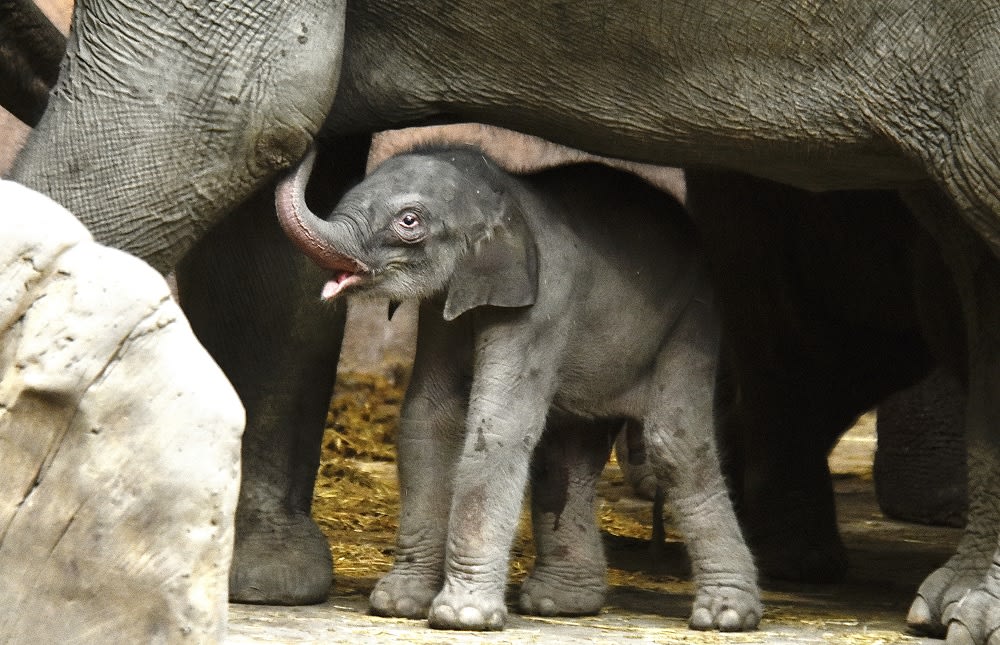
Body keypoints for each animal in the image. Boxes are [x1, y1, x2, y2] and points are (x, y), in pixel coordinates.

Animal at [274, 145, 756, 628]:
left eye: (409, 221)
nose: (304, 151)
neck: (507, 196)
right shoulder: (444, 307)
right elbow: (429, 417)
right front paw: (398, 604)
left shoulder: (542, 308)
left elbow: (497, 426)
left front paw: (462, 617)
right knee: (566, 455)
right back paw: (558, 604)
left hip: (692, 320)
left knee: (674, 445)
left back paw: (725, 617)